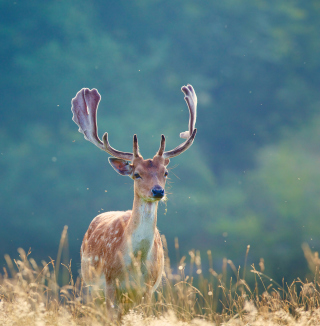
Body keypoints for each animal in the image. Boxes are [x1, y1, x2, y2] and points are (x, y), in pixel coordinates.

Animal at [71, 84, 198, 314]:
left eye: (165, 172)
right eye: (137, 174)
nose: (158, 191)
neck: (135, 263)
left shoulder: (148, 289)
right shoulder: (110, 284)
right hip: (90, 285)